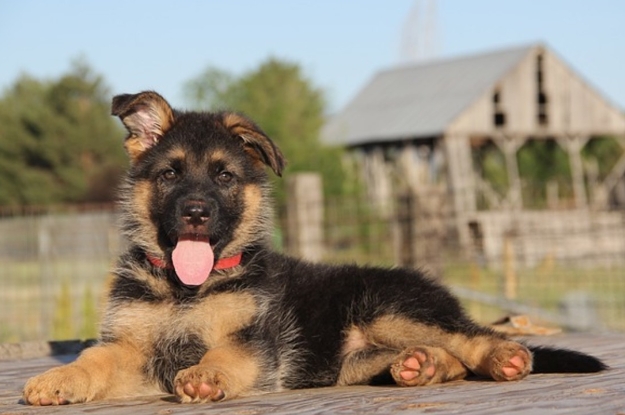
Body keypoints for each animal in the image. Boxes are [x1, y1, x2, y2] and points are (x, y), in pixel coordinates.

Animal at [23, 92, 604, 406]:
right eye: (169, 174)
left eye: (224, 177)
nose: (196, 213)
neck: (186, 288)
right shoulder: (129, 346)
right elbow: (93, 359)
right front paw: (57, 380)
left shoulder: (252, 340)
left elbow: (224, 354)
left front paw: (206, 374)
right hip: (355, 357)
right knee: (444, 357)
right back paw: (421, 367)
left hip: (390, 307)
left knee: (473, 336)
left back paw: (503, 357)